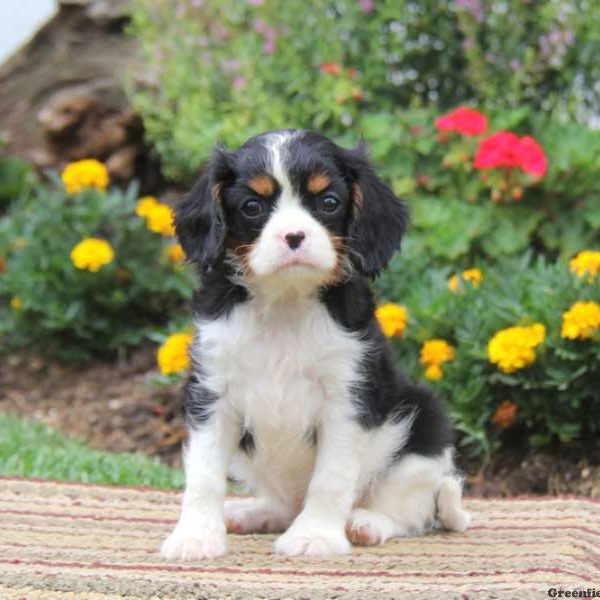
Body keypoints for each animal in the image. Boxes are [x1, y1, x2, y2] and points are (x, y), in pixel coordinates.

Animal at [162, 129, 472, 560]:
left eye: (328, 202)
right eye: (252, 206)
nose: (294, 236)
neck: (286, 301)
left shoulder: (346, 397)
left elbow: (331, 477)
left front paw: (315, 536)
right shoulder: (211, 393)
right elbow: (204, 474)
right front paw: (195, 536)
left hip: (424, 430)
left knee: (412, 511)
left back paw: (367, 523)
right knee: (283, 506)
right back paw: (254, 513)